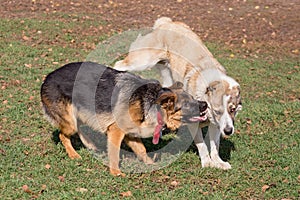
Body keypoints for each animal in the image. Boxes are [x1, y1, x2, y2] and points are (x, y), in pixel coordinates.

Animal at [41, 61, 207, 176]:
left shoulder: (131, 134)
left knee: (80, 127)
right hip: (70, 123)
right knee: (63, 135)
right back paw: (73, 154)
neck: (150, 103)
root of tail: (47, 77)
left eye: (193, 98)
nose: (205, 104)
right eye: (187, 104)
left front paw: (150, 164)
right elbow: (115, 153)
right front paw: (115, 172)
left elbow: (141, 149)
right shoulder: (116, 131)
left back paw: (89, 144)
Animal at [113, 17, 243, 170]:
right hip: (142, 60)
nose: (228, 131)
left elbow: (214, 145)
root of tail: (166, 22)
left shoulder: (216, 124)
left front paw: (218, 162)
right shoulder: (195, 123)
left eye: (233, 110)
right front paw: (207, 162)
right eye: (217, 111)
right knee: (119, 64)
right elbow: (202, 145)